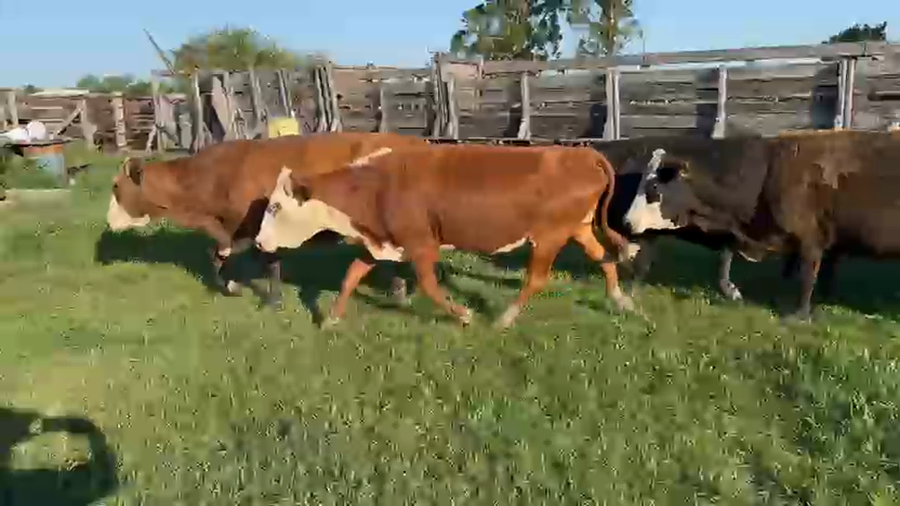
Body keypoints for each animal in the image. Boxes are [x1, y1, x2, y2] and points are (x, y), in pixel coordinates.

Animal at [104, 132, 428, 307]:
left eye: (116, 186)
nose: (108, 222)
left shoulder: (261, 226)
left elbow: (269, 263)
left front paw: (271, 299)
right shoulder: (234, 231)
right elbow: (215, 256)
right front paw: (232, 286)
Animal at [254, 143, 636, 329]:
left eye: (275, 207)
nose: (258, 242)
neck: (375, 186)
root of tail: (583, 153)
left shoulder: (422, 244)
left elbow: (429, 285)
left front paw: (463, 314)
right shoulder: (381, 241)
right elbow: (351, 276)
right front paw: (332, 318)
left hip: (551, 235)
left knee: (537, 279)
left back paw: (504, 319)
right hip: (578, 227)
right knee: (604, 259)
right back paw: (620, 300)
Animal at [620, 129, 900, 320]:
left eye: (653, 188)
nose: (626, 221)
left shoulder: (811, 239)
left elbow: (807, 276)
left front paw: (799, 315)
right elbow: (726, 256)